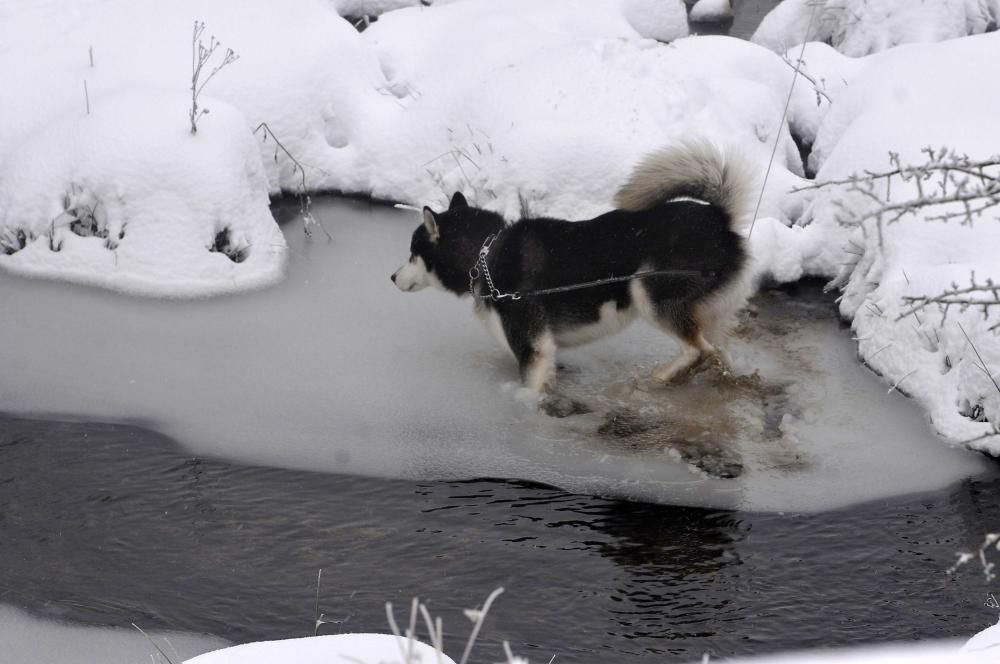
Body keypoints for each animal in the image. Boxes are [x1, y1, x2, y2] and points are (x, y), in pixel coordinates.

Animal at [390, 138, 752, 392]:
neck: (486, 254)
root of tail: (719, 219)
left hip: (646, 289)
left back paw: (663, 376)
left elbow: (532, 388)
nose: (392, 276)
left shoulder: (532, 345)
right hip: (712, 314)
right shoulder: (540, 346)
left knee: (699, 350)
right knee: (717, 351)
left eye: (412, 253)